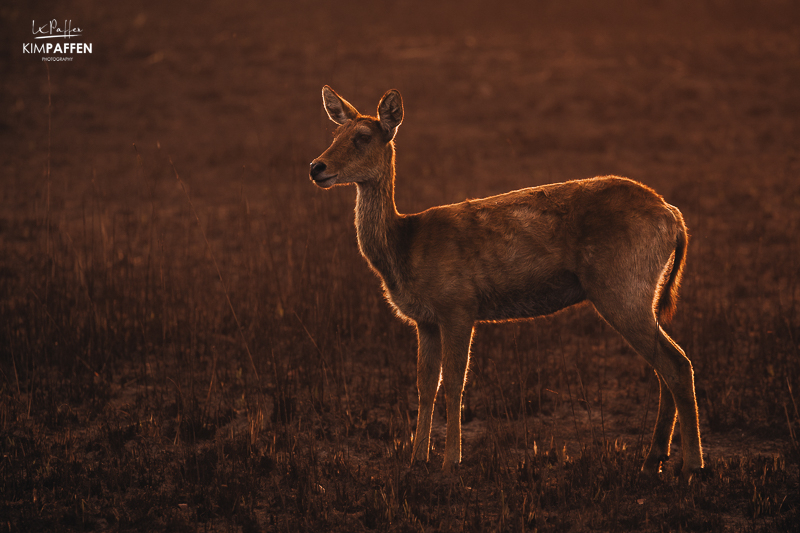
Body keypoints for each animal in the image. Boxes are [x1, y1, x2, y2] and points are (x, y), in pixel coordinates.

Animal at [310, 85, 704, 476]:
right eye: (335, 134)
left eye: (363, 136)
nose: (317, 167)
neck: (405, 246)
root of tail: (673, 218)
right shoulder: (425, 320)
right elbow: (426, 385)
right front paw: (417, 458)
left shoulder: (458, 304)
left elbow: (454, 384)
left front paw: (451, 461)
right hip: (638, 291)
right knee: (665, 366)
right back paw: (655, 459)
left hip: (621, 287)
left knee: (677, 363)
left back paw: (692, 465)